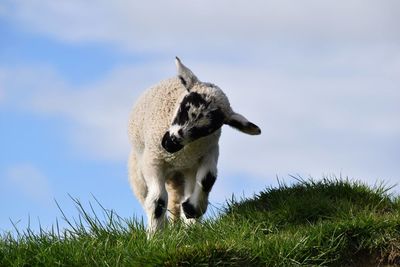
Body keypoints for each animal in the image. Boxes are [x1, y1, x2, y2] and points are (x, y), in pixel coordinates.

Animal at [126, 57, 260, 234]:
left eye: (208, 129)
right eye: (184, 107)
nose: (169, 143)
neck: (178, 154)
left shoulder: (209, 151)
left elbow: (208, 178)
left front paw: (192, 209)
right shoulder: (153, 160)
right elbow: (157, 200)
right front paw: (156, 235)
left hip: (187, 171)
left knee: (180, 198)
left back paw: (188, 227)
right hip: (138, 171)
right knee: (149, 197)